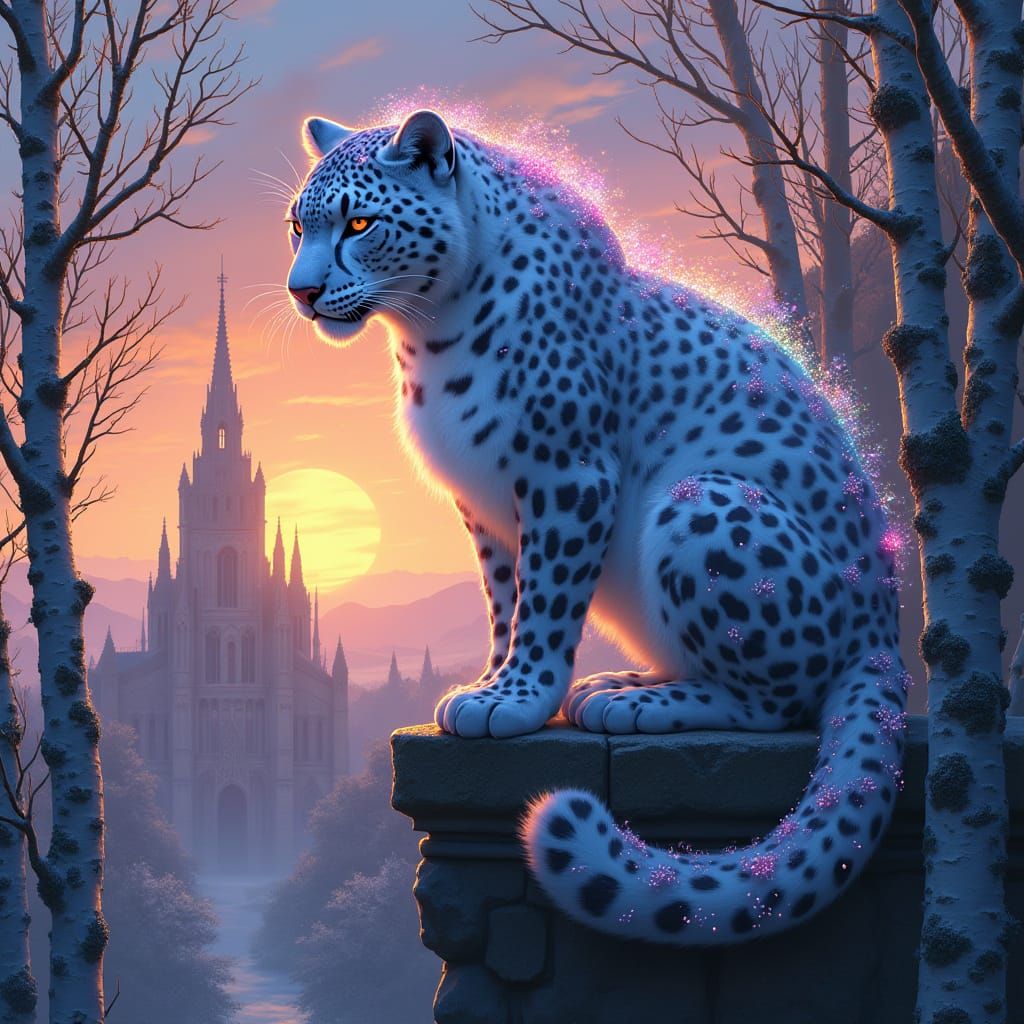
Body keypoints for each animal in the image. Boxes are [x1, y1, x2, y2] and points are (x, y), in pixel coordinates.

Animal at [284, 108, 909, 945]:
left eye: (359, 223)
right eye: (298, 226)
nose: (303, 290)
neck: (425, 332)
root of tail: (885, 631)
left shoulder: (567, 471)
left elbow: (547, 599)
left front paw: (515, 701)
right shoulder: (485, 503)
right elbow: (504, 599)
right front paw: (487, 684)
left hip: (704, 503)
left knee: (781, 699)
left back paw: (638, 704)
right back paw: (625, 680)